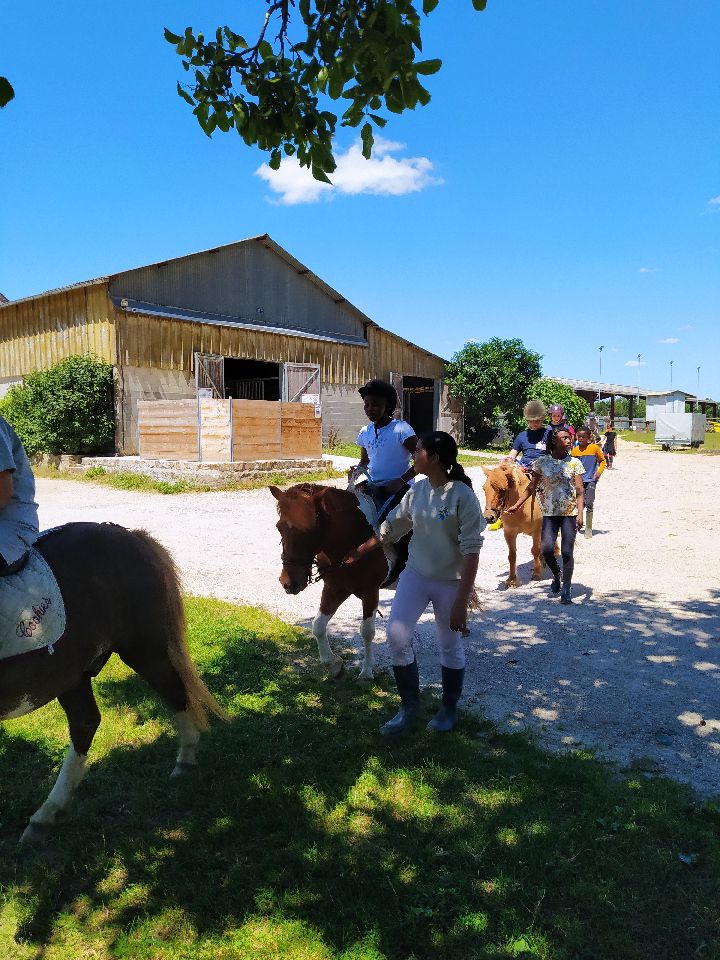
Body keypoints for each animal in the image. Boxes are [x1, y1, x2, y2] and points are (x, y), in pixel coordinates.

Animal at [0, 520, 226, 844]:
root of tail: (130, 534)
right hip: (70, 673)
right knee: (85, 723)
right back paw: (47, 816)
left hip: (143, 650)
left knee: (174, 692)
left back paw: (184, 760)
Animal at [268, 484, 388, 680]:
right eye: (279, 527)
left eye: (311, 530)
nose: (289, 582)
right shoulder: (335, 589)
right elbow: (317, 625)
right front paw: (333, 663)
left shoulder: (370, 591)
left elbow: (367, 631)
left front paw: (366, 671)